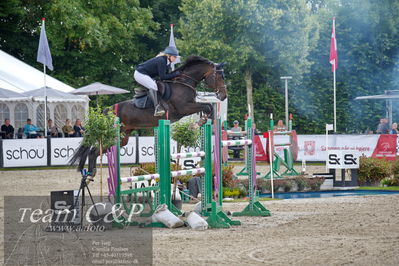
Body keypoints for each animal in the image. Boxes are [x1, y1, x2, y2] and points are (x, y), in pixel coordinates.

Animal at [69, 55, 228, 177]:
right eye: (219, 76)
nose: (223, 96)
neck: (184, 83)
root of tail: (107, 111)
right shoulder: (184, 108)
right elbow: (207, 107)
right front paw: (199, 123)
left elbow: (208, 108)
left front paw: (204, 122)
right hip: (114, 134)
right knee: (93, 151)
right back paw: (91, 173)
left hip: (123, 137)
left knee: (97, 150)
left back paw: (90, 174)